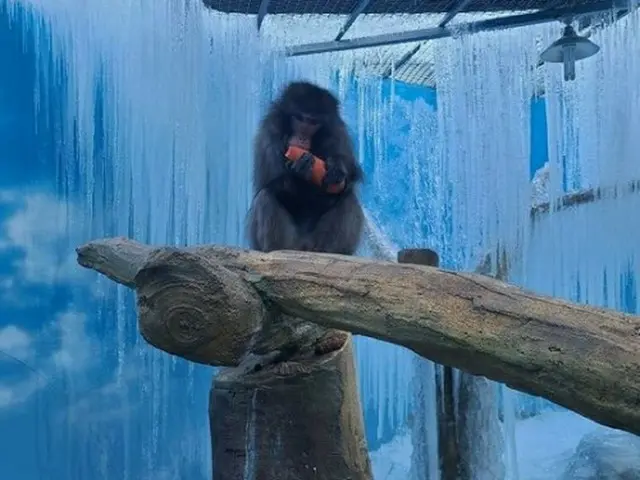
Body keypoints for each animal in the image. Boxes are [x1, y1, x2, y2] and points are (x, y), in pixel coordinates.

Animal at [246, 81, 365, 255]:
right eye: (299, 118)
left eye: (313, 122)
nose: (301, 138)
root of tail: (304, 246)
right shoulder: (270, 132)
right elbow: (272, 183)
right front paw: (299, 172)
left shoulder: (337, 133)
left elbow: (348, 179)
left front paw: (337, 168)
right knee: (266, 196)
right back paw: (278, 249)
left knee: (348, 198)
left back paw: (332, 251)